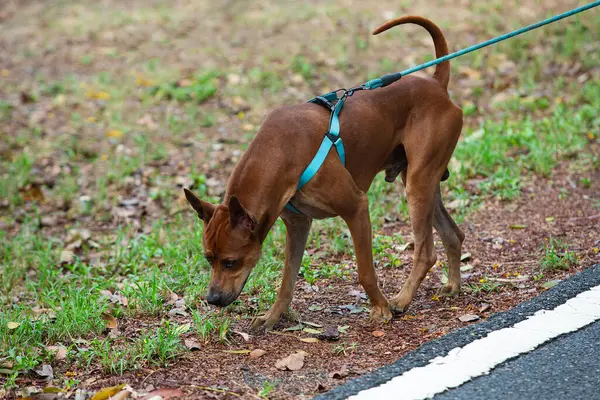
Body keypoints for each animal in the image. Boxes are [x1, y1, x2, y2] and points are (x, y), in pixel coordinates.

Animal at [183, 15, 464, 330]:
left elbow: (365, 271)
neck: (279, 151)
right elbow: (287, 281)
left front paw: (381, 309)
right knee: (454, 235)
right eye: (208, 259)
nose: (212, 300)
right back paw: (453, 286)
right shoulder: (297, 225)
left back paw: (401, 299)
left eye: (231, 262)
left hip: (417, 185)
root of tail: (436, 84)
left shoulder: (356, 207)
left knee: (426, 253)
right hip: (423, 182)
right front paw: (273, 316)